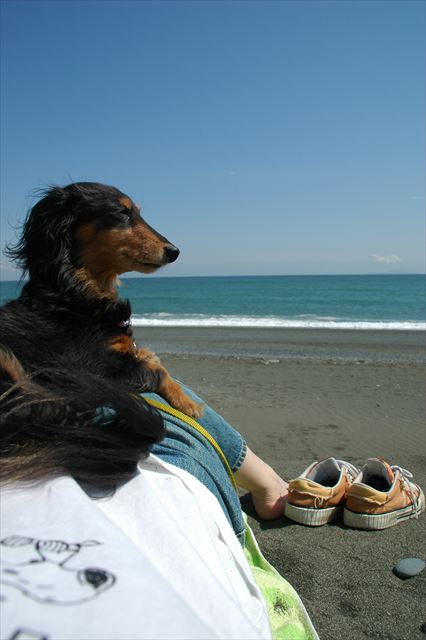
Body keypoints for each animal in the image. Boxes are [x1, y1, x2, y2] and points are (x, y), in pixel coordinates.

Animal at [0, 182, 203, 418]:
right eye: (122, 212)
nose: (174, 251)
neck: (74, 291)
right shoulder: (89, 365)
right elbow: (157, 369)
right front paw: (188, 403)